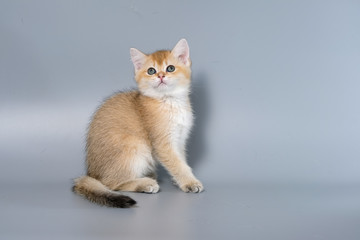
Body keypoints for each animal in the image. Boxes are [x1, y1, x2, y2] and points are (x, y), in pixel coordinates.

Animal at [71, 38, 204, 207]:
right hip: (135, 146)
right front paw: (190, 182)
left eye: (170, 68)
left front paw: (180, 179)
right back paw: (144, 183)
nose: (161, 76)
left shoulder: (179, 139)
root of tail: (91, 174)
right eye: (151, 71)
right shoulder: (163, 144)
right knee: (111, 184)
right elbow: (177, 164)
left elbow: (181, 160)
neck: (170, 102)